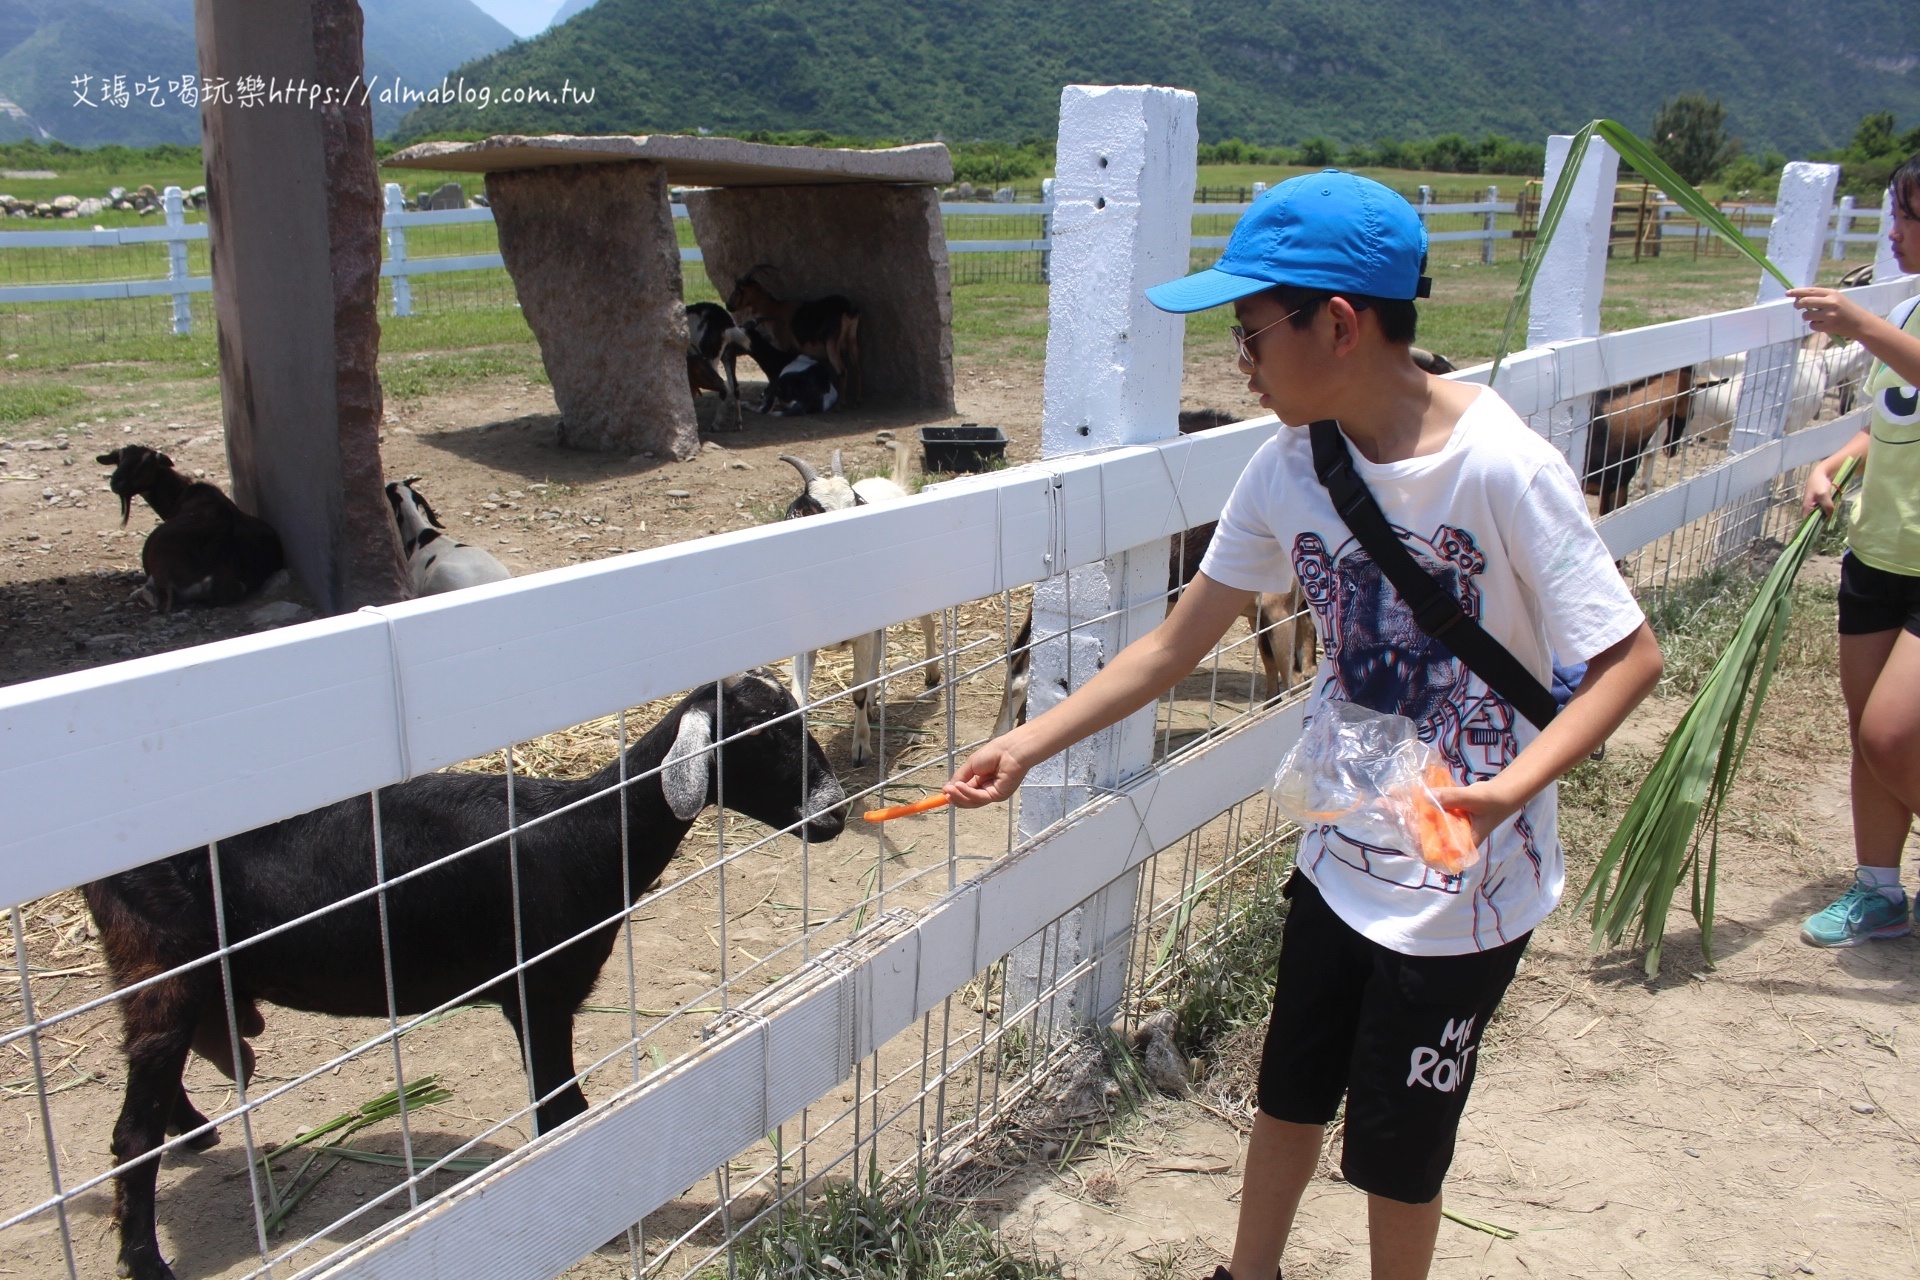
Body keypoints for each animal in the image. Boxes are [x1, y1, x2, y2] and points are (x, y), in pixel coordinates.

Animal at [80, 671, 848, 1280]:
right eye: (767, 736)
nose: (835, 815)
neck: (587, 833)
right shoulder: (539, 992)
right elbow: (563, 1113)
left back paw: (195, 1130)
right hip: (161, 964)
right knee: (131, 1136)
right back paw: (146, 1261)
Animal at [783, 435, 940, 767]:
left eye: (853, 502)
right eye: (814, 510)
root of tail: (890, 483)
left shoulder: (861, 635)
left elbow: (855, 692)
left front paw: (861, 747)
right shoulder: (804, 645)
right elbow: (799, 700)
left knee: (927, 624)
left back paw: (932, 674)